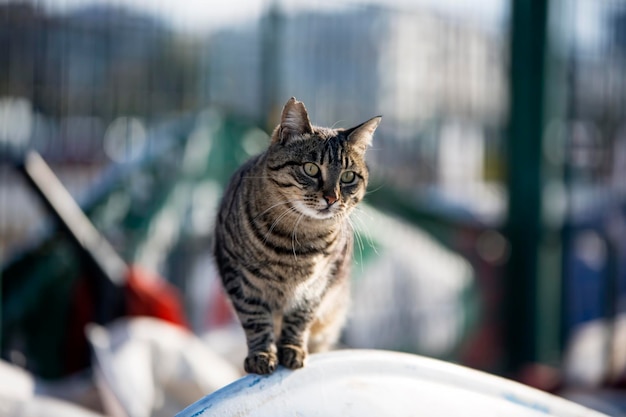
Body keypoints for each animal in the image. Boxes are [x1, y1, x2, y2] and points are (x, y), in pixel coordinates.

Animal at [213, 97, 380, 374]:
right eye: (311, 169)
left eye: (348, 177)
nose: (332, 198)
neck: (299, 239)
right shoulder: (238, 276)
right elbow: (256, 320)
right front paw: (262, 355)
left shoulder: (317, 285)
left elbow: (299, 320)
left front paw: (292, 349)